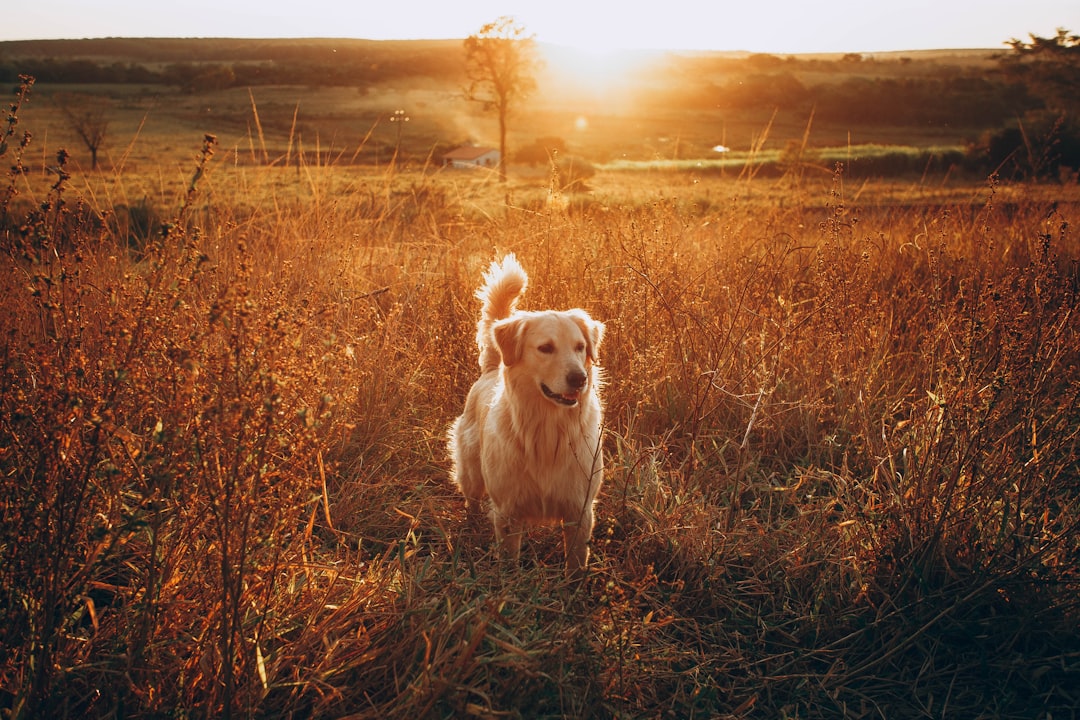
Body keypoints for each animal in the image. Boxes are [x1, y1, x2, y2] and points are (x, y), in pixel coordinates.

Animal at [442, 253, 604, 574]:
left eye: (580, 347)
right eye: (545, 348)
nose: (579, 379)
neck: (549, 429)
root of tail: (492, 368)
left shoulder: (579, 509)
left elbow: (576, 560)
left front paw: (575, 584)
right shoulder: (508, 511)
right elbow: (508, 559)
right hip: (471, 472)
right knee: (471, 500)